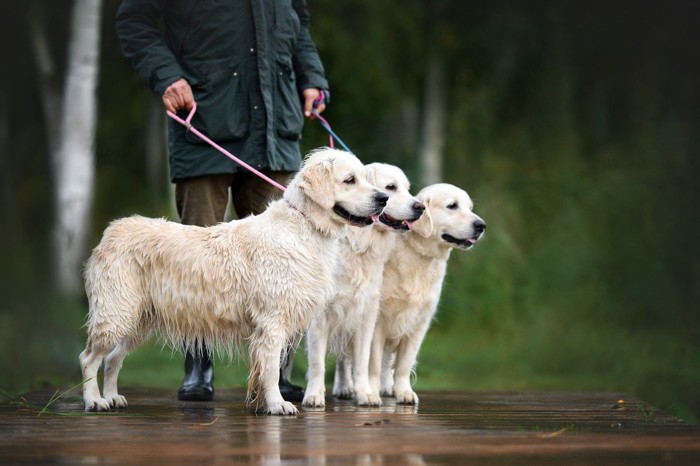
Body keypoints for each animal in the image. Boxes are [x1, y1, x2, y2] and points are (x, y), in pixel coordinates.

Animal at [80, 148, 394, 416]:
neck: (304, 226)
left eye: (366, 178)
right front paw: (278, 405)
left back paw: (112, 397)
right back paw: (94, 400)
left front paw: (266, 402)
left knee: (113, 358)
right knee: (89, 358)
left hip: (137, 320)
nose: (383, 199)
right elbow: (271, 369)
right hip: (116, 313)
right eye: (349, 180)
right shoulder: (273, 321)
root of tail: (113, 230)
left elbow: (269, 368)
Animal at [300, 164, 422, 408]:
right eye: (390, 187)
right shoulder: (320, 318)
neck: (357, 245)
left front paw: (365, 393)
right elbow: (317, 362)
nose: (420, 207)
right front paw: (314, 395)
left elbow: (362, 361)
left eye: (407, 188)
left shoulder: (365, 313)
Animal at [370, 182, 484, 404]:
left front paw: (404, 392)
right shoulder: (378, 321)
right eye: (452, 206)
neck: (419, 257)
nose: (481, 225)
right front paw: (369, 391)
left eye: (470, 207)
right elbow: (373, 362)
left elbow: (404, 365)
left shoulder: (418, 323)